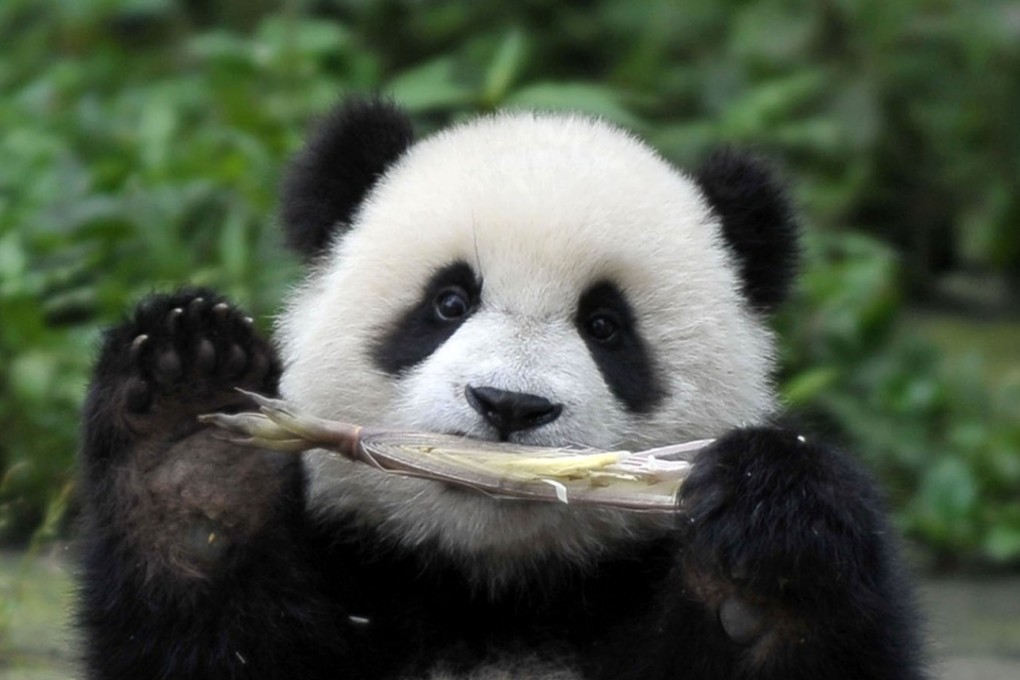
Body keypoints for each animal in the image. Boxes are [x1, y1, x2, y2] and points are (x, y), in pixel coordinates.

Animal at [78, 97, 926, 680]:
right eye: (449, 302)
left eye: (606, 326)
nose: (510, 406)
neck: (496, 592)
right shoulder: (359, 580)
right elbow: (208, 639)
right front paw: (192, 443)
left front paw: (758, 565)